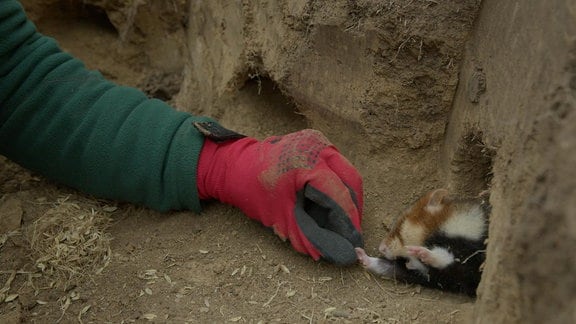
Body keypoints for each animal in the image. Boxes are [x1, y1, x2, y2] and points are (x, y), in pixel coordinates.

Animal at [358, 187, 488, 296]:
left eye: (402, 223)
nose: (381, 248)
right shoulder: (434, 277)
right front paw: (359, 252)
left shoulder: (473, 254)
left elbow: (449, 258)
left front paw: (418, 252)